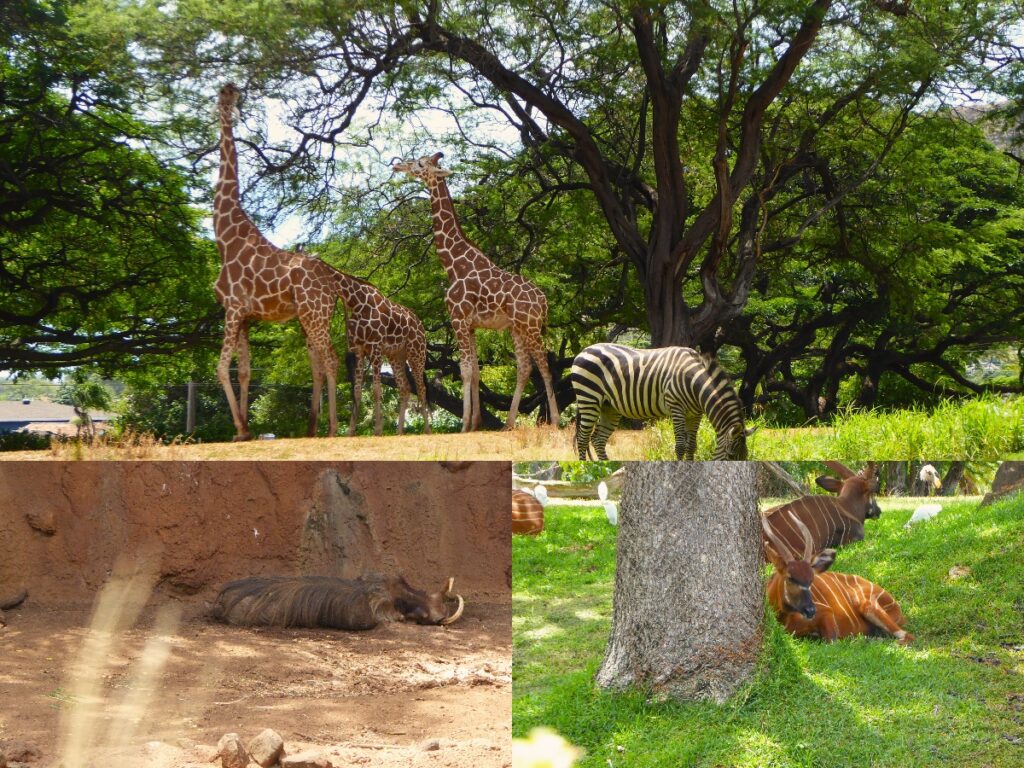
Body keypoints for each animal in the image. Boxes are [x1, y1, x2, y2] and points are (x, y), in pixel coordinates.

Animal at [211, 83, 428, 438]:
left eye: (227, 94)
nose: (229, 100)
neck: (225, 237)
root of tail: (330, 285)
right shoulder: (245, 316)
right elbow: (243, 371)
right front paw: (242, 429)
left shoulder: (233, 308)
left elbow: (221, 366)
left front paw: (241, 428)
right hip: (316, 319)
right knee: (338, 367)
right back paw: (318, 426)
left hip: (318, 317)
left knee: (333, 361)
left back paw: (331, 428)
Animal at [391, 152, 561, 430]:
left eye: (420, 164)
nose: (397, 165)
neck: (452, 264)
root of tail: (544, 301)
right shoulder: (470, 325)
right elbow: (476, 370)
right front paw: (475, 422)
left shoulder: (458, 319)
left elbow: (466, 370)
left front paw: (464, 425)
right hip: (516, 329)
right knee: (525, 367)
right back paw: (508, 424)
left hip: (530, 326)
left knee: (544, 365)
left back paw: (555, 421)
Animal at [569, 346, 753, 460]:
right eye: (731, 456)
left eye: (745, 457)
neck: (694, 381)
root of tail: (585, 350)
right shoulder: (676, 407)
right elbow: (680, 446)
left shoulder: (695, 414)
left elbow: (691, 446)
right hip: (589, 398)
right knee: (583, 439)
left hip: (609, 407)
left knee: (598, 439)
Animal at [761, 514, 913, 647]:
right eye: (790, 578)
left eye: (811, 579)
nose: (811, 610)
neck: (784, 617)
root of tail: (898, 608)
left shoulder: (827, 613)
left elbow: (832, 643)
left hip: (869, 606)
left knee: (907, 635)